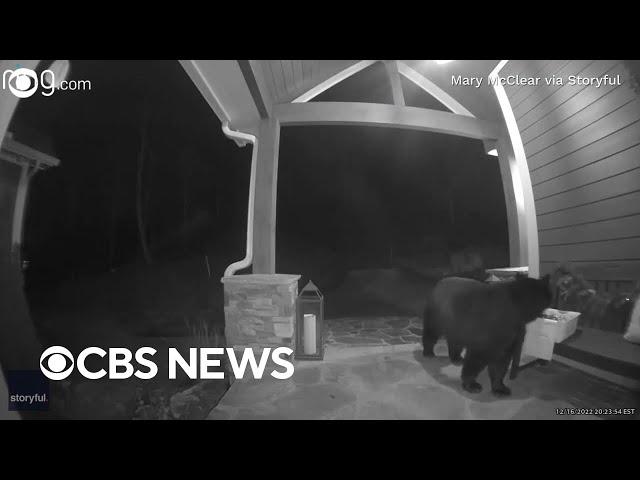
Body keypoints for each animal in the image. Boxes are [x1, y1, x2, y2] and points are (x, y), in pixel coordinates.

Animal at [422, 276, 552, 396]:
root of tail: (440, 282)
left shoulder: (511, 335)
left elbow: (501, 361)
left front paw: (500, 388)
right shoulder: (489, 329)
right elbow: (477, 357)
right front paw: (472, 385)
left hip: (456, 323)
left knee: (455, 340)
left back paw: (457, 358)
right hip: (438, 315)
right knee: (431, 332)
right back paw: (428, 352)